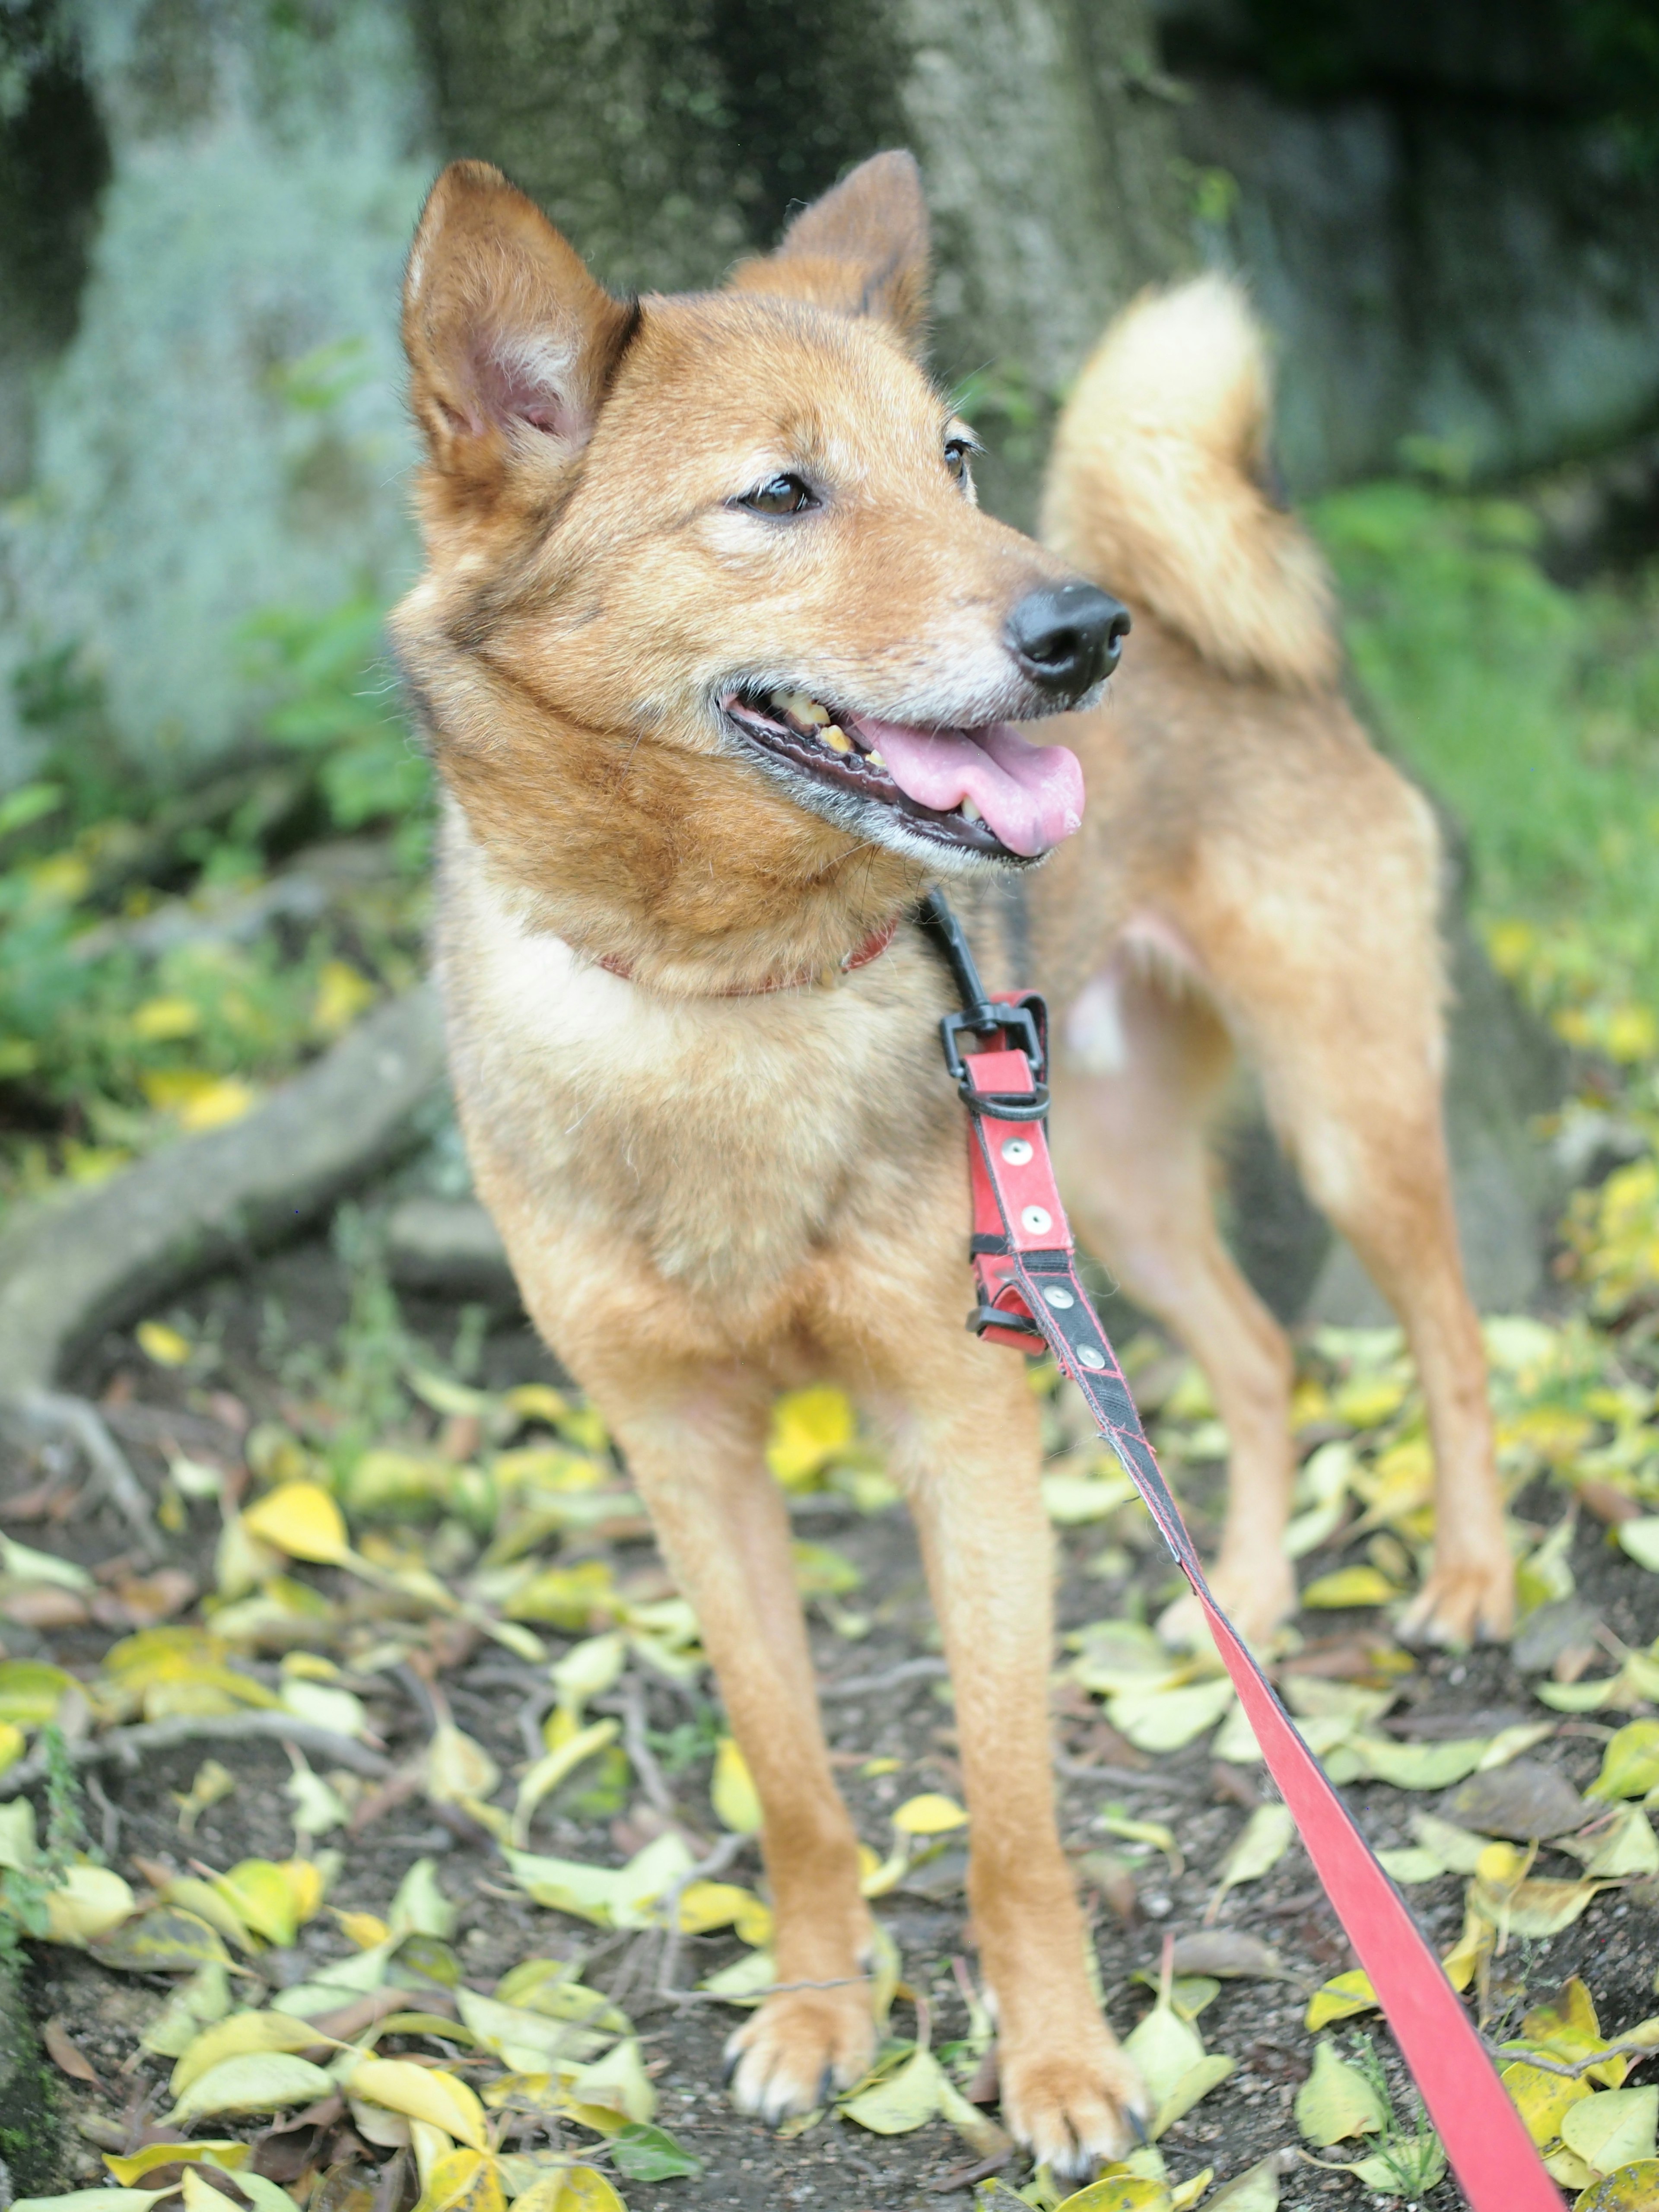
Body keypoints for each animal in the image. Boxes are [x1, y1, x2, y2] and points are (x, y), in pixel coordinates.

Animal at [394, 147, 1522, 2168]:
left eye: (958, 456)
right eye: (780, 491)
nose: (1084, 636)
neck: (724, 987)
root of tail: (1217, 629)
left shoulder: (960, 1418)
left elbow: (1008, 1810)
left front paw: (1059, 2061)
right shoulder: (682, 1449)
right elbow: (790, 1777)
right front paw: (819, 2006)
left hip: (1339, 1113)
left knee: (1447, 1337)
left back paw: (1468, 1575)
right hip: (1104, 1188)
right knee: (1260, 1356)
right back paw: (1239, 1599)